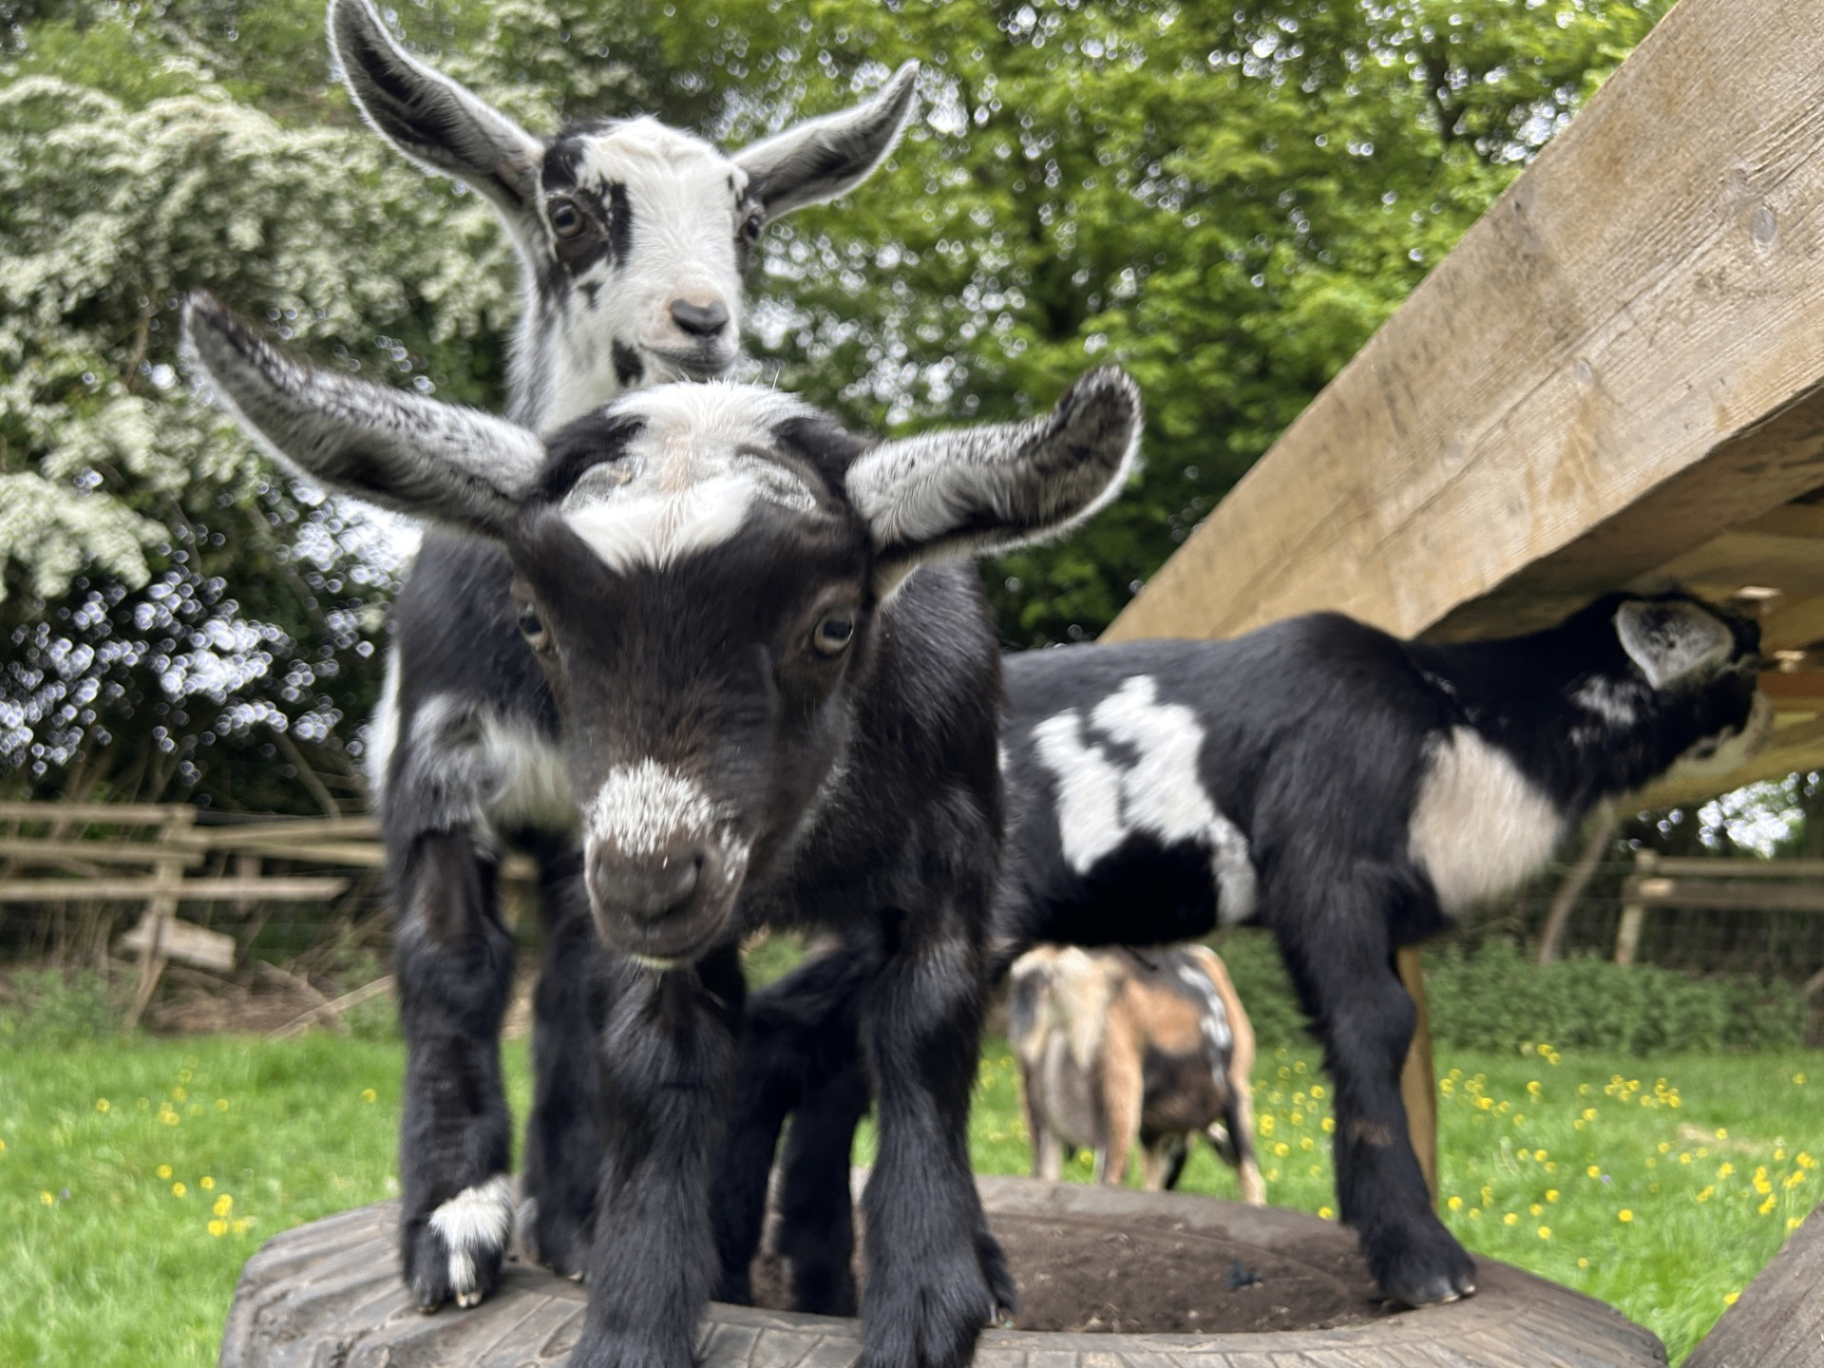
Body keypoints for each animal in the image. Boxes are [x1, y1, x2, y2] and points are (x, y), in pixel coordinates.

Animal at [183, 291, 1141, 1368]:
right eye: (536, 620)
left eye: (834, 626)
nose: (648, 883)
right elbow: (653, 1064)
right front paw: (635, 1317)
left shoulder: (953, 859)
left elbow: (921, 1037)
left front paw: (934, 1294)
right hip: (450, 774)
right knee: (457, 964)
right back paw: (467, 1224)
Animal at [327, 0, 918, 1303]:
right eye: (570, 210)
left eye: (749, 220)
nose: (701, 324)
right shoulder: (436, 774)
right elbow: (448, 971)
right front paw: (449, 1227)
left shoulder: (629, 816)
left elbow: (595, 996)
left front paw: (585, 1227)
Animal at [1008, 944, 1264, 1200]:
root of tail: (1057, 973)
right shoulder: (1237, 1093)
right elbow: (1251, 1177)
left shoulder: (1153, 1132)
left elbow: (1151, 1184)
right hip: (1119, 1117)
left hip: (1044, 1128)